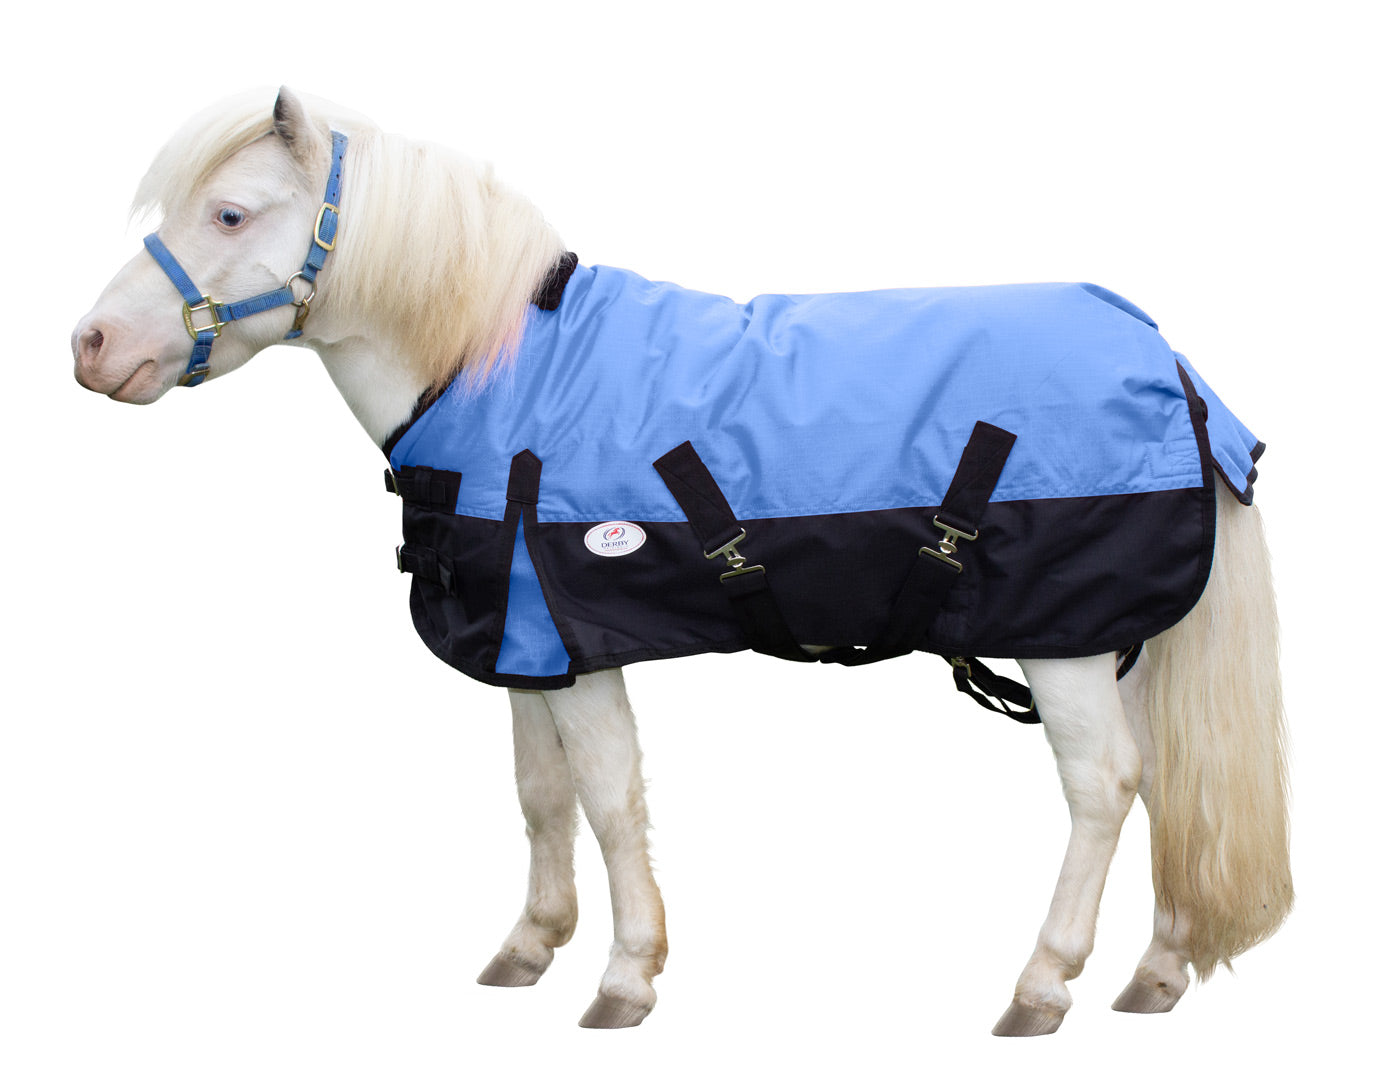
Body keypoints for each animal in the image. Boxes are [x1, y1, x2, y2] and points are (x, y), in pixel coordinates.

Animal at [71, 87, 1292, 1035]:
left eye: (231, 211)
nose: (91, 345)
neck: (496, 369)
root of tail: (1173, 367)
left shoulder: (575, 635)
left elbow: (609, 796)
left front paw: (624, 977)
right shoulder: (528, 644)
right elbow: (540, 795)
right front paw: (530, 944)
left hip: (1061, 640)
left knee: (1105, 784)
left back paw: (1041, 985)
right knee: (1168, 783)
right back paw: (1155, 971)